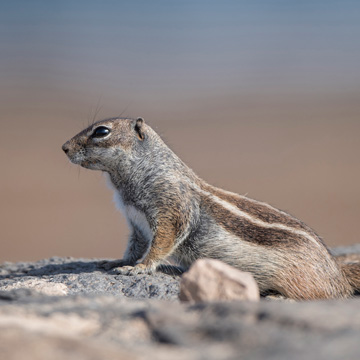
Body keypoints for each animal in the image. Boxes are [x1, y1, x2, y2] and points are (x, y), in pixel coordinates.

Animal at [62, 116, 360, 300]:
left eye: (101, 131)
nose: (64, 147)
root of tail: (337, 273)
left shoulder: (171, 209)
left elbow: (161, 243)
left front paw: (139, 268)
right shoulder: (136, 224)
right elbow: (134, 246)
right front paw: (118, 262)